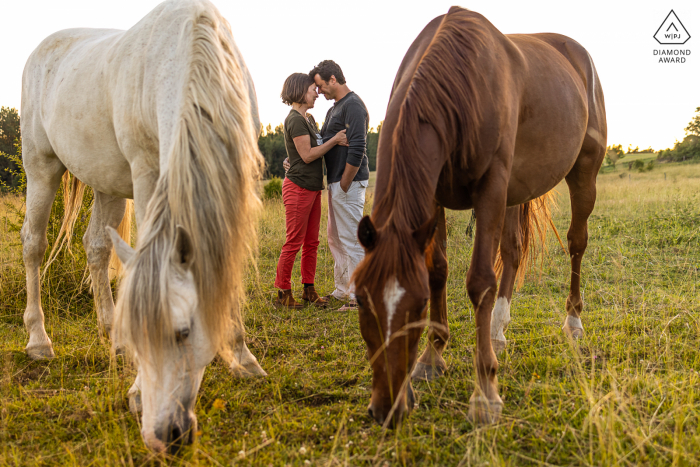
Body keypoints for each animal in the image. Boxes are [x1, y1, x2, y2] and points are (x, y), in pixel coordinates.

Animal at [20, 0, 266, 454]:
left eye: (183, 332)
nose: (162, 435)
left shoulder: (240, 178)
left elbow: (229, 265)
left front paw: (243, 357)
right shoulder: (148, 174)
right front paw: (136, 388)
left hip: (105, 182)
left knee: (96, 246)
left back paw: (106, 331)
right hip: (41, 168)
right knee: (34, 245)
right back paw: (39, 340)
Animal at [356, 7, 608, 430]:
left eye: (418, 307)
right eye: (360, 299)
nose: (387, 408)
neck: (460, 83)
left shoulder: (491, 187)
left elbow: (479, 282)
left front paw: (485, 392)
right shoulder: (434, 196)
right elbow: (438, 269)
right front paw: (432, 357)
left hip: (582, 174)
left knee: (576, 244)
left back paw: (572, 322)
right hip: (513, 193)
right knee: (512, 250)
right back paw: (498, 330)